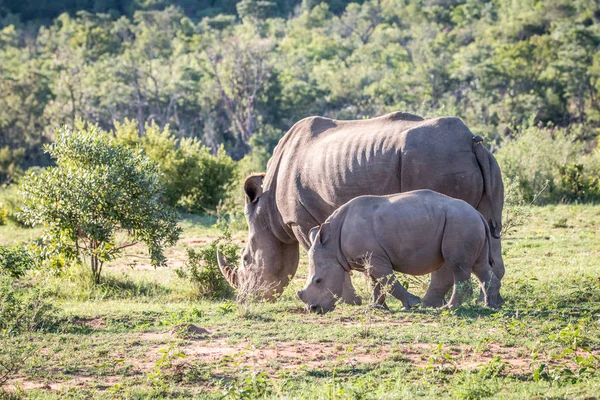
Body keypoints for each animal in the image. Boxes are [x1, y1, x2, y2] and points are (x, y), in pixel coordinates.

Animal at [296, 189, 502, 314]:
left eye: (318, 280)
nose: (314, 309)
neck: (331, 245)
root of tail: (478, 214)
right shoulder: (369, 259)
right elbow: (376, 282)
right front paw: (376, 308)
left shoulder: (375, 258)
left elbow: (388, 280)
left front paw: (411, 305)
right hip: (468, 222)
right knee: (479, 266)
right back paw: (491, 306)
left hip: (460, 222)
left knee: (458, 267)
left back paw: (449, 308)